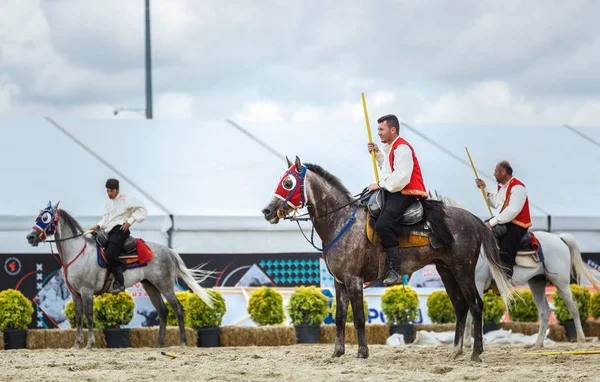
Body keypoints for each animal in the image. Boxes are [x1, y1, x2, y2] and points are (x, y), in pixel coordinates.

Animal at [27, 203, 216, 350]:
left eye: (45, 218)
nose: (30, 237)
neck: (77, 252)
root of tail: (168, 251)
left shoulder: (87, 291)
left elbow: (89, 316)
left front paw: (90, 344)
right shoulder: (75, 294)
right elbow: (79, 318)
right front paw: (76, 344)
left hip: (165, 286)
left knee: (178, 309)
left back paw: (182, 342)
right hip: (151, 287)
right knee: (163, 312)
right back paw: (158, 344)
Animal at [262, 156, 516, 362]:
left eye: (288, 183)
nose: (267, 211)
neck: (341, 221)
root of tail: (473, 219)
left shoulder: (354, 280)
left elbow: (359, 318)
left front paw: (362, 353)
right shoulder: (340, 282)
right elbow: (340, 317)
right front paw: (337, 352)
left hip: (463, 271)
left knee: (476, 305)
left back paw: (476, 352)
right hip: (446, 271)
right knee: (461, 307)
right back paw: (455, 351)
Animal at [428, 192, 600, 348]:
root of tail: (559, 238)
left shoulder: (477, 283)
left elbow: (471, 311)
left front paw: (468, 343)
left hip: (561, 281)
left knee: (573, 306)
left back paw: (580, 339)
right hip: (537, 282)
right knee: (544, 311)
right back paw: (537, 344)